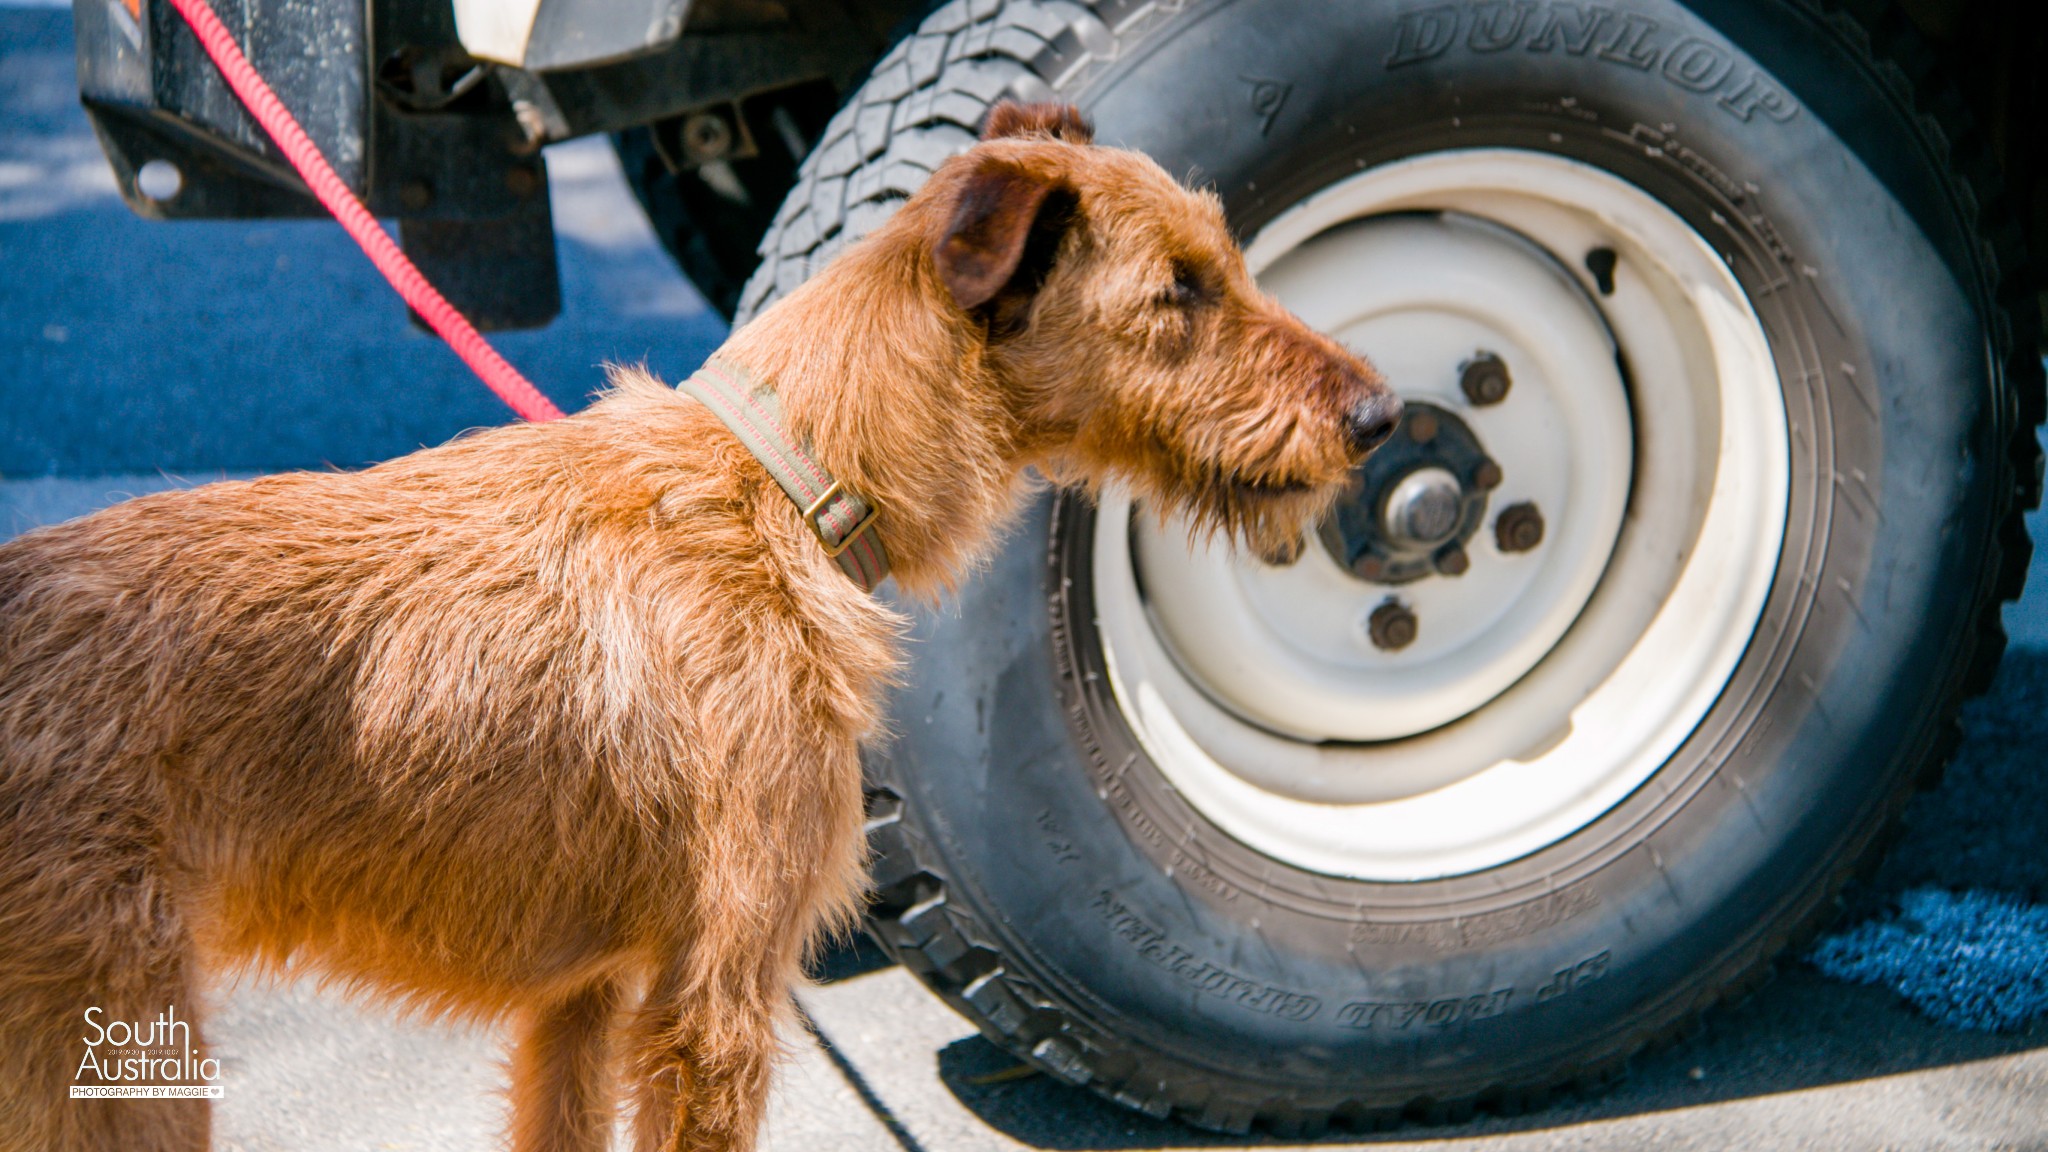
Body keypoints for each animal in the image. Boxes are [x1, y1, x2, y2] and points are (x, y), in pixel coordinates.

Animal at [0, 103, 1392, 1147]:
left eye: (1228, 262)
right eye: (1178, 293)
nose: (1378, 415)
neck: (786, 484)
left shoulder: (582, 1002)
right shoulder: (713, 1006)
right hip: (113, 1059)